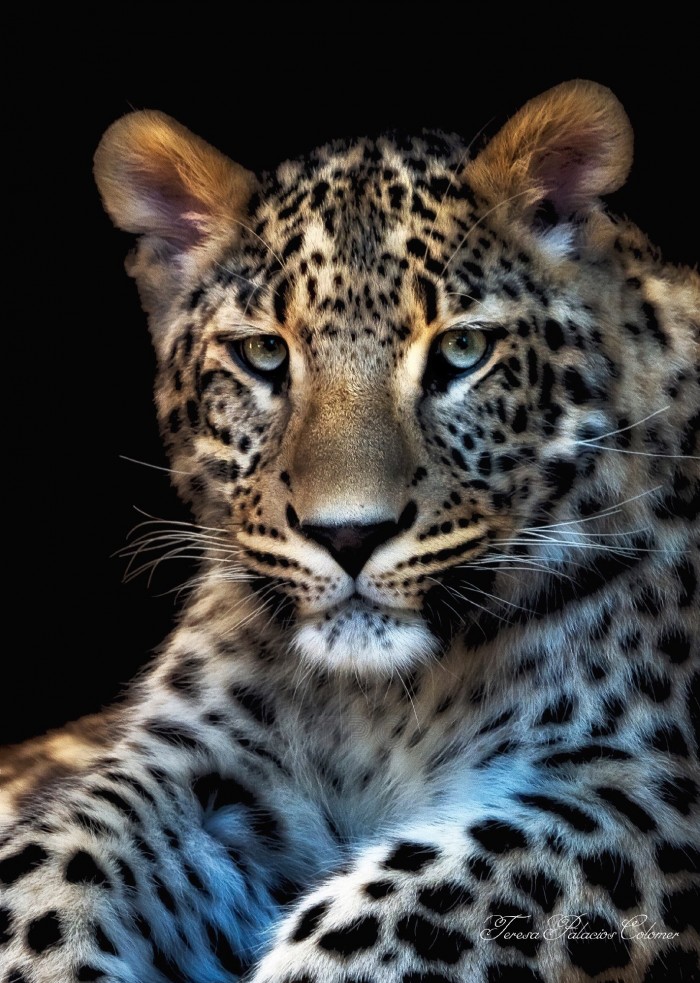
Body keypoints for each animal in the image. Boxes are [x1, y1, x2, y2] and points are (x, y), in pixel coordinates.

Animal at [1, 79, 700, 983]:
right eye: (263, 355)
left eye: (462, 350)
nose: (349, 535)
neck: (382, 706)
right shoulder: (204, 766)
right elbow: (52, 871)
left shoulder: (638, 791)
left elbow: (394, 921)